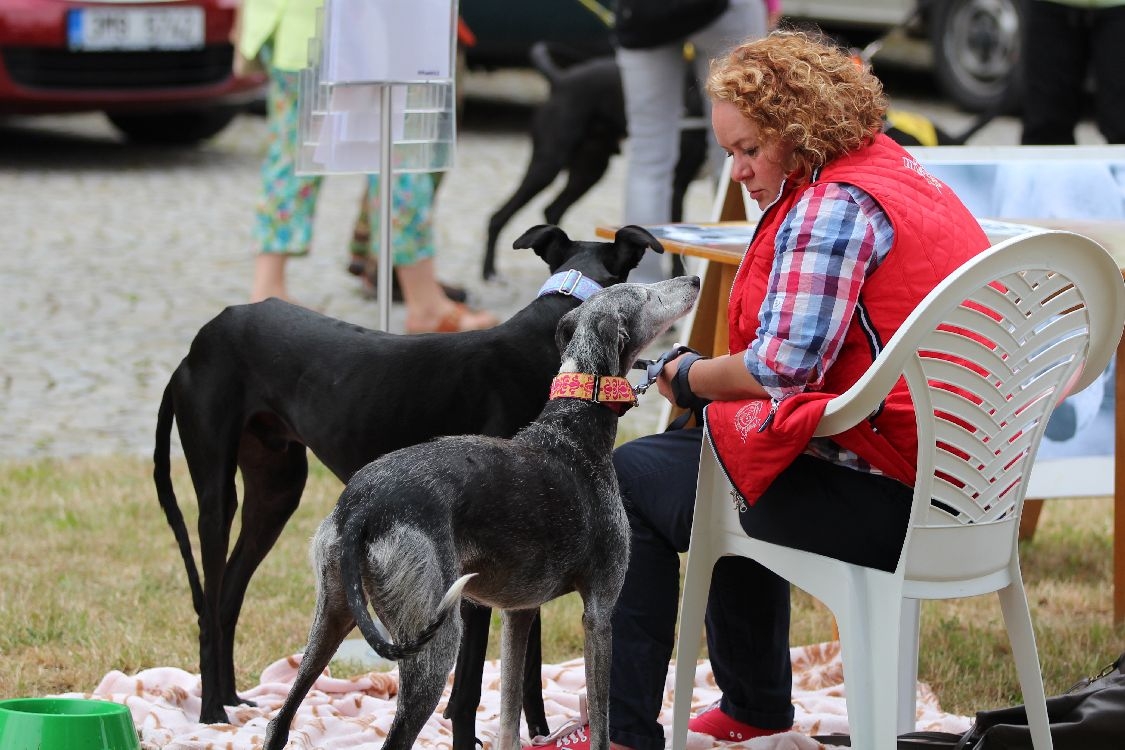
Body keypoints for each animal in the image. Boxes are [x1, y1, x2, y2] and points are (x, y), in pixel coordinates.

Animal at [149, 222, 657, 746]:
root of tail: (201, 340)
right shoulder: (477, 592)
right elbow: (471, 686)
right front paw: (470, 731)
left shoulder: (530, 565)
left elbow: (527, 666)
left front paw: (537, 730)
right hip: (218, 495)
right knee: (211, 600)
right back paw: (212, 708)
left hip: (277, 493)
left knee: (229, 596)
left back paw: (233, 699)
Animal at [264, 274, 702, 750]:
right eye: (645, 292)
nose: (695, 279)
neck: (573, 429)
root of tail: (364, 507)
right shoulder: (600, 612)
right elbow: (602, 726)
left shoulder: (519, 612)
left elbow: (509, 718)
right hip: (435, 641)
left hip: (334, 613)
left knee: (279, 720)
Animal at [481, 41, 706, 281]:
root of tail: (560, 79)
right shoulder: (676, 184)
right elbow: (678, 250)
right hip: (548, 166)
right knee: (498, 216)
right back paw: (489, 271)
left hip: (589, 171)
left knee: (552, 209)